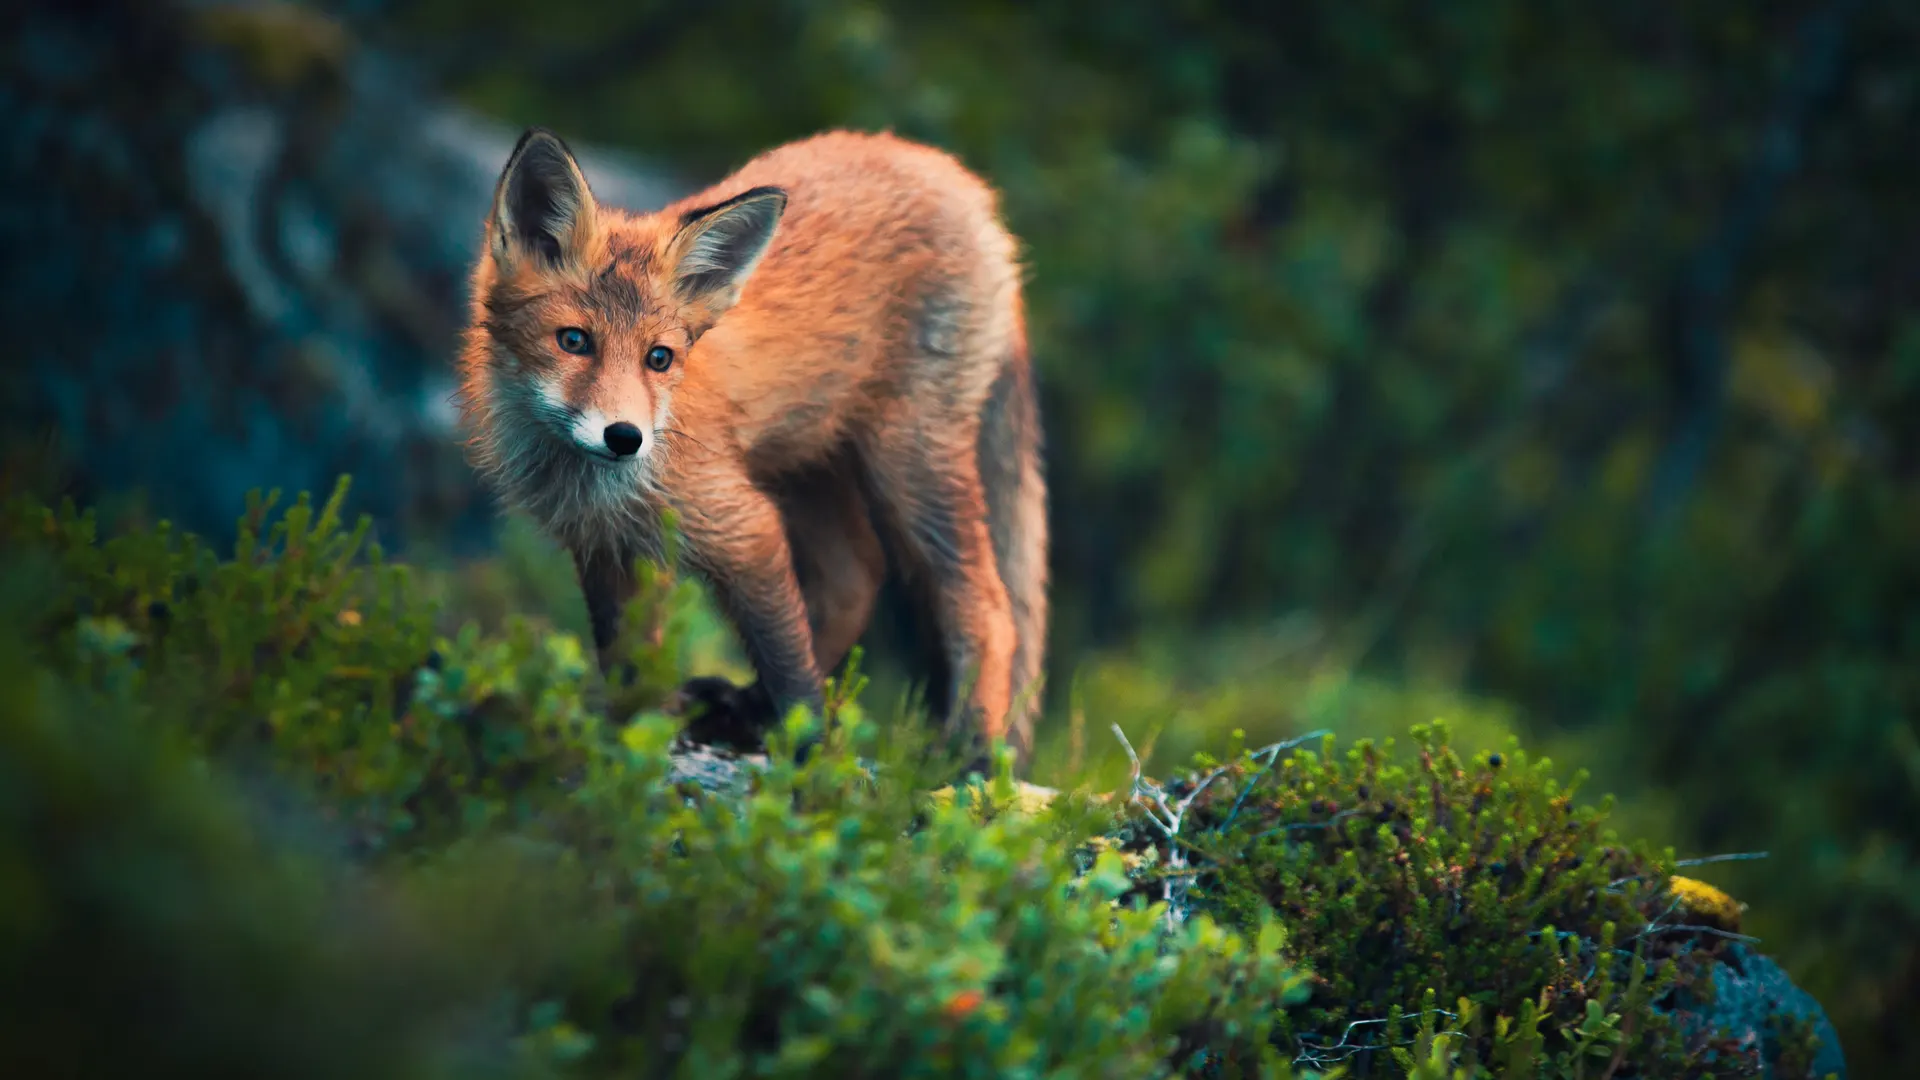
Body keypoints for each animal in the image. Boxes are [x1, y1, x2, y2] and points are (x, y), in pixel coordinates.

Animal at [453, 125, 1052, 764]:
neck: (588, 481)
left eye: (658, 358)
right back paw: (742, 708)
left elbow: (787, 662)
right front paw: (636, 742)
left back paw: (970, 750)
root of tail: (957, 178)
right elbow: (627, 664)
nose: (624, 438)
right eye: (573, 341)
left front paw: (808, 757)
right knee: (854, 578)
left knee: (986, 604)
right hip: (809, 463)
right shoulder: (605, 545)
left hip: (905, 462)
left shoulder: (741, 525)